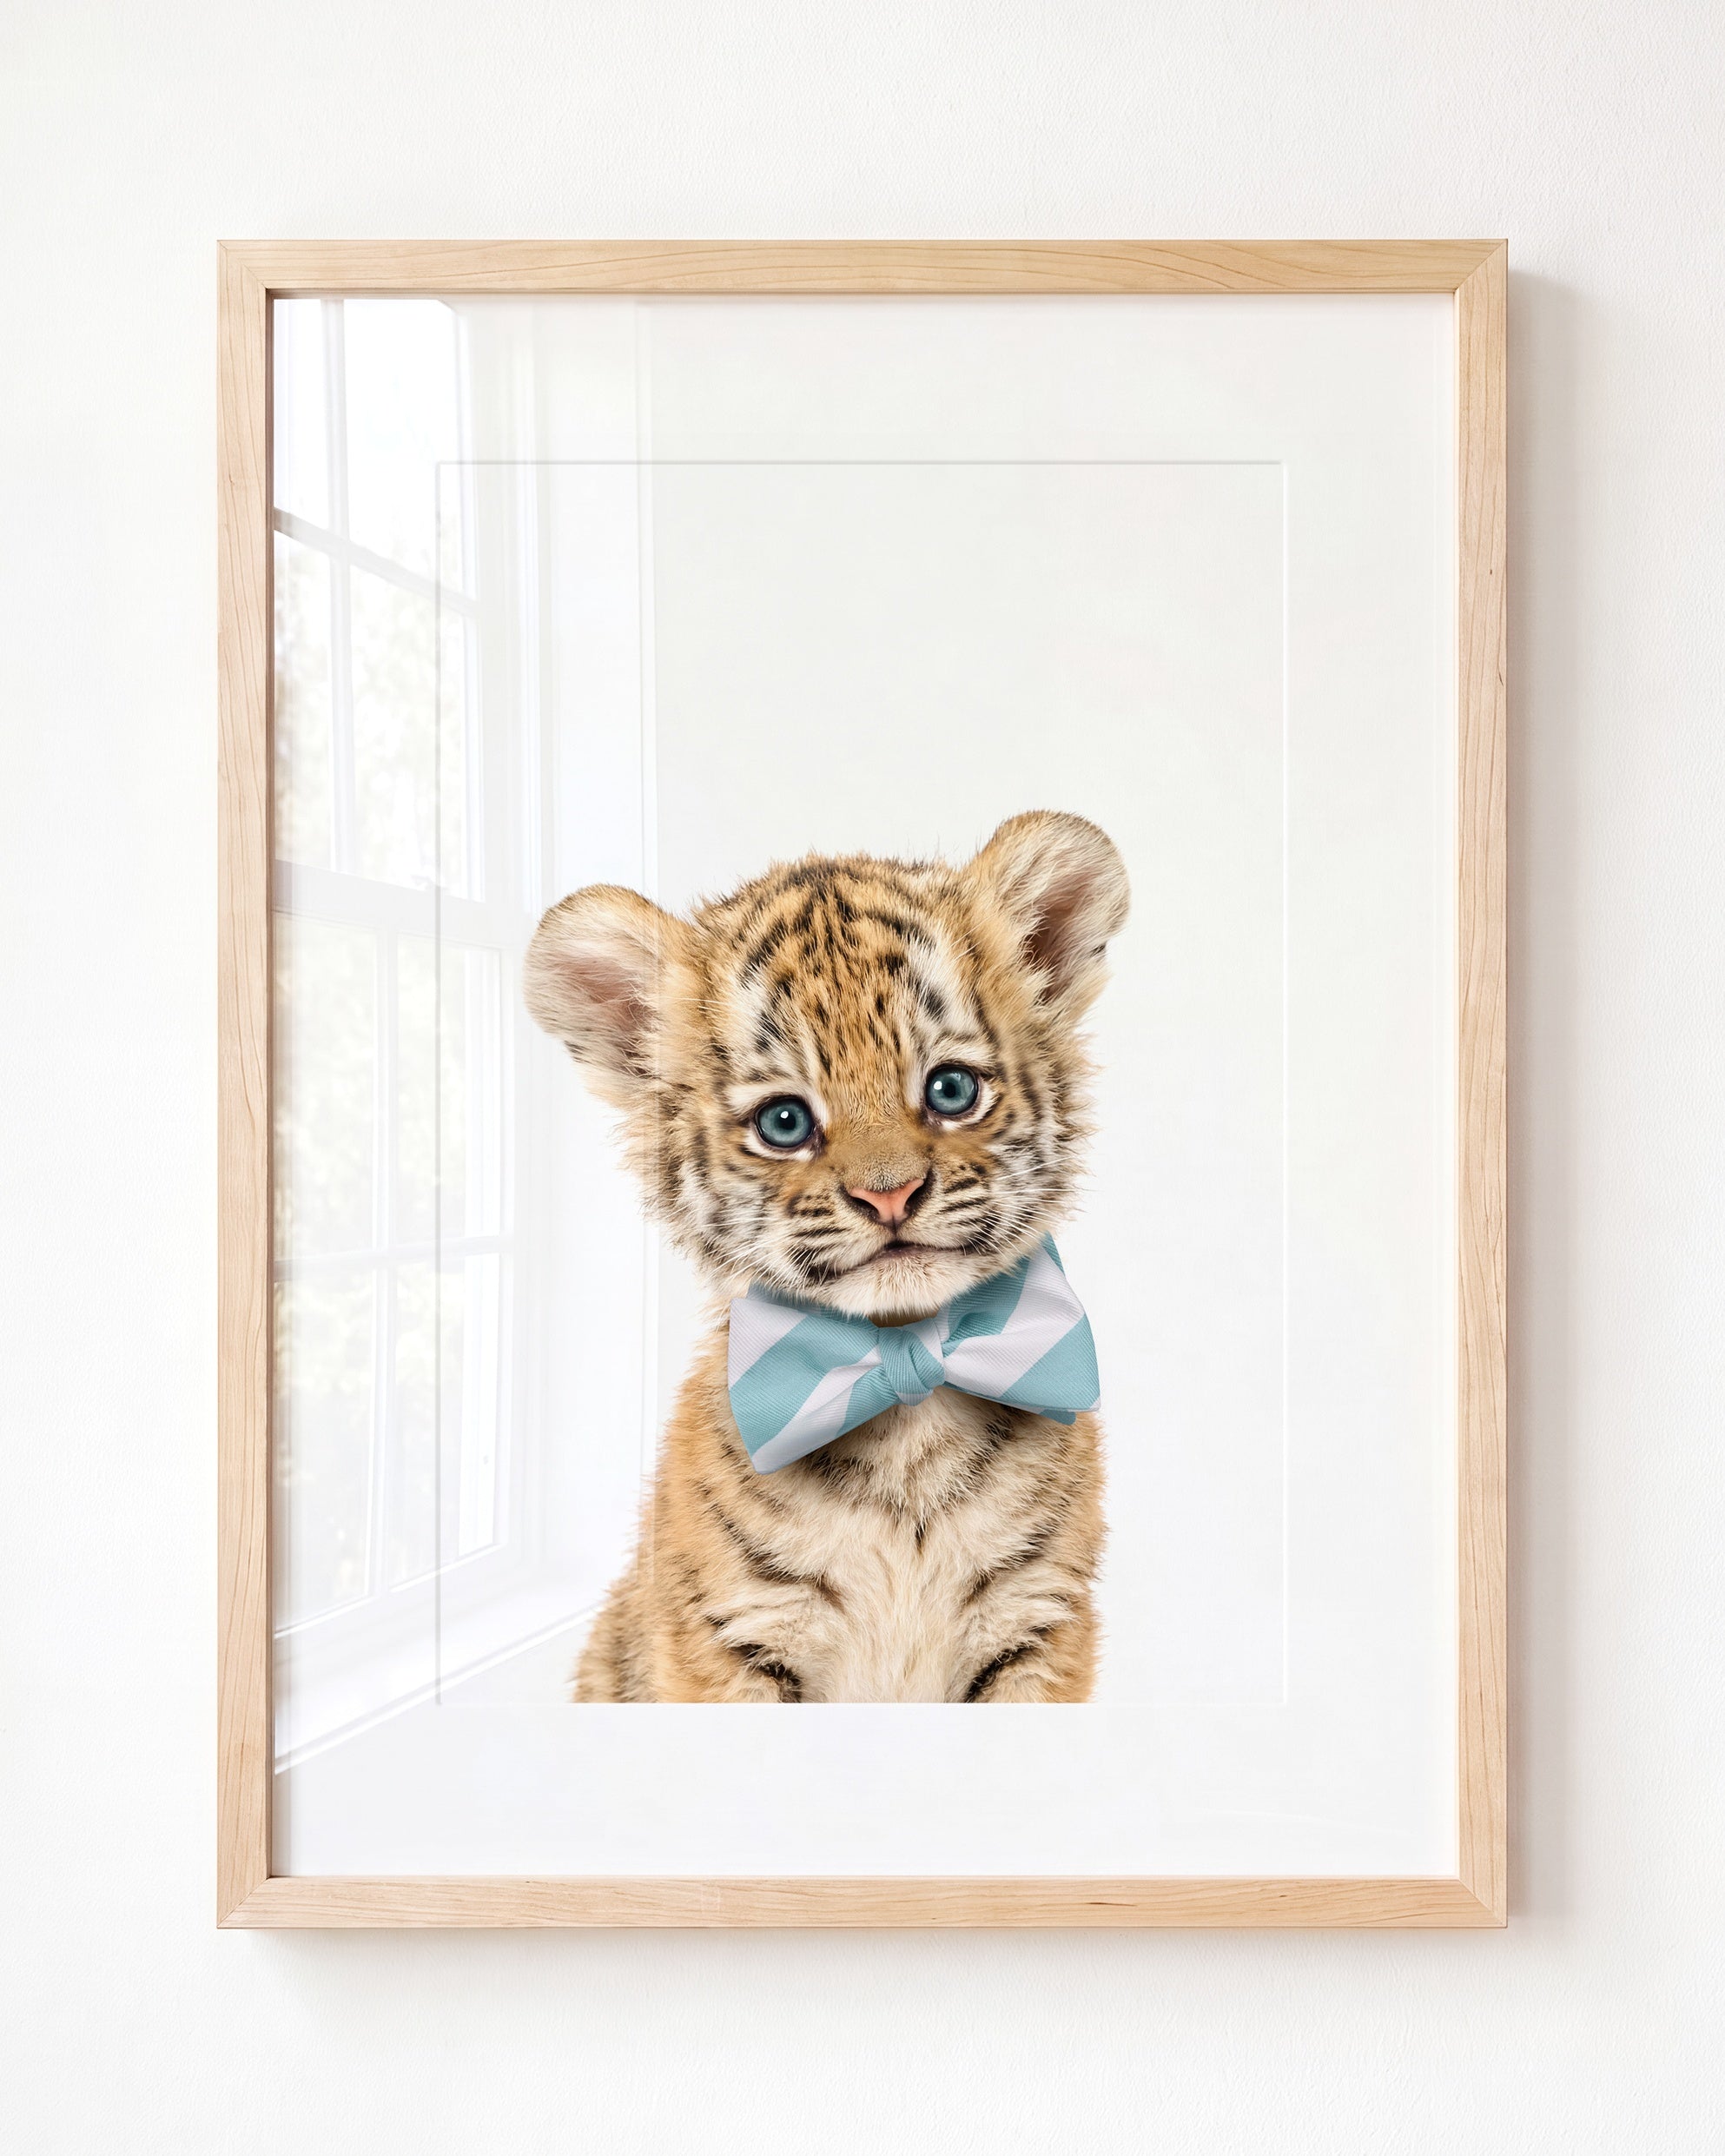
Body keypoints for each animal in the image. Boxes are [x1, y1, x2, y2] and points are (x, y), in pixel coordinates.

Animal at [523, 809, 1129, 1703]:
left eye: (951, 1090)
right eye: (784, 1122)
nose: (891, 1195)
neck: (906, 1400)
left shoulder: (1037, 1622)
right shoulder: (731, 1639)